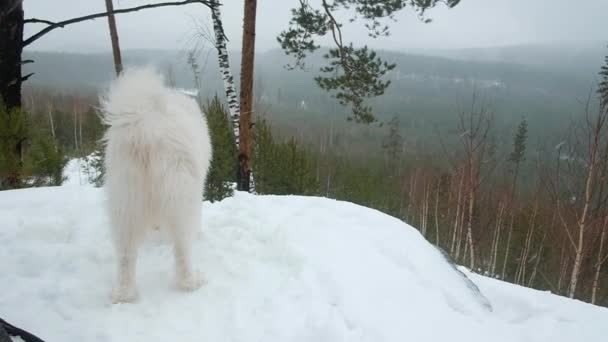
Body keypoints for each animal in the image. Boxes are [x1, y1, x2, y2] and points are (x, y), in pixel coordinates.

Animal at [101, 68, 213, 304]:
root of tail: (145, 124)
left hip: (125, 199)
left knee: (125, 255)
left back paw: (124, 294)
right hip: (181, 194)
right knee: (182, 249)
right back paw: (192, 281)